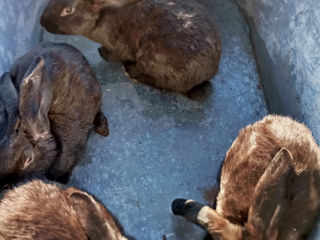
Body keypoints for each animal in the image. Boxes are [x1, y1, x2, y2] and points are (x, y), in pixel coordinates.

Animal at [40, 0, 221, 93]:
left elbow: (115, 53)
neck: (102, 17)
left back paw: (130, 70)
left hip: (149, 54)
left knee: (165, 84)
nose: (42, 22)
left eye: (68, 10)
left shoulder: (118, 45)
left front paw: (102, 53)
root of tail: (205, 74)